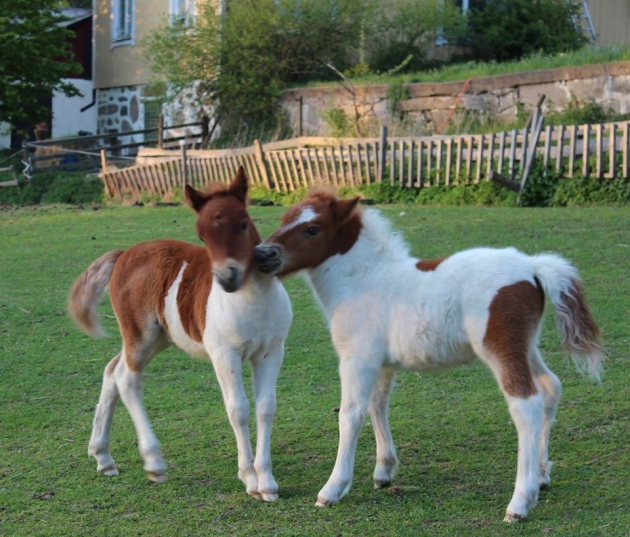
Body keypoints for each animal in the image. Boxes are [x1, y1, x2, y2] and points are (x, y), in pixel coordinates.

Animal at [69, 169, 294, 502]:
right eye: (202, 235)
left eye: (243, 223)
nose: (227, 278)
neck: (252, 298)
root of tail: (123, 255)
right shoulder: (224, 355)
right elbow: (238, 409)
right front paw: (251, 480)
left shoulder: (271, 352)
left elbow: (265, 408)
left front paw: (267, 482)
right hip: (140, 336)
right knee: (126, 378)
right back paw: (154, 463)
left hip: (158, 339)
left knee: (111, 370)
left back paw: (103, 457)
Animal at [256, 188, 608, 520]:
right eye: (284, 217)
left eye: (312, 229)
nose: (263, 254)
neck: (363, 280)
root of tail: (534, 267)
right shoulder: (382, 364)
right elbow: (377, 406)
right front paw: (384, 471)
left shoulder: (358, 359)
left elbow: (351, 415)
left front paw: (333, 489)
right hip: (527, 347)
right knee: (550, 387)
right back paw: (542, 475)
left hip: (502, 350)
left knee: (527, 406)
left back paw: (520, 503)